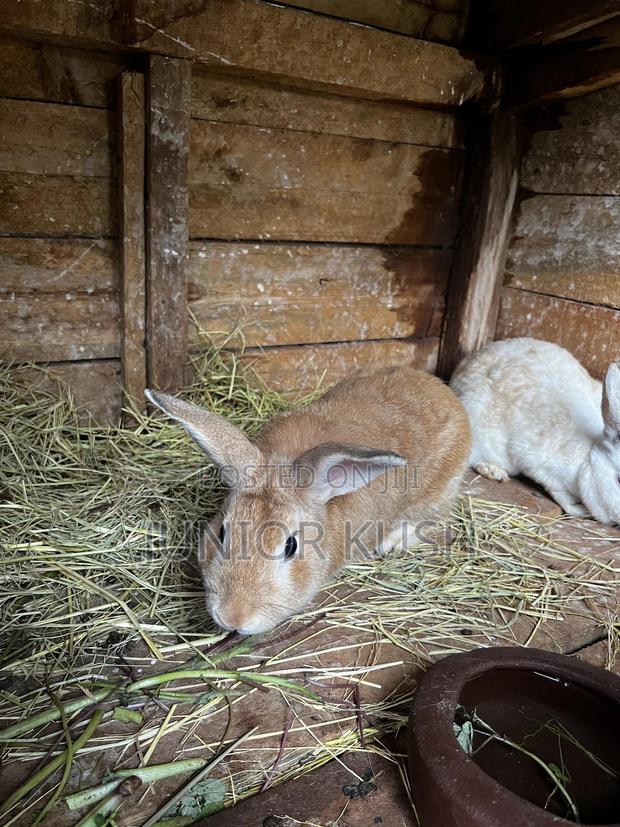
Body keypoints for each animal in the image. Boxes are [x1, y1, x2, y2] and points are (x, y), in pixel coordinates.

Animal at [450, 337, 620, 524]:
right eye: (619, 479)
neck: (588, 456)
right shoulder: (540, 466)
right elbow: (558, 492)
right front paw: (578, 509)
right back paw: (493, 471)